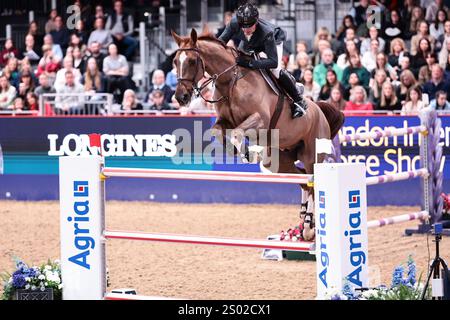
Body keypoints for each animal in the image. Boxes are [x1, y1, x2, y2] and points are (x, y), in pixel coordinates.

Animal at [171, 30, 342, 240]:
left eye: (193, 61)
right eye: (175, 61)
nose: (180, 97)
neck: (231, 82)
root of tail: (320, 111)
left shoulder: (260, 120)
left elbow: (238, 132)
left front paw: (247, 154)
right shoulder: (225, 121)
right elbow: (217, 131)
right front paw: (236, 151)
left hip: (311, 155)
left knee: (313, 182)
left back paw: (309, 227)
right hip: (278, 161)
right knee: (304, 181)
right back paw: (305, 221)